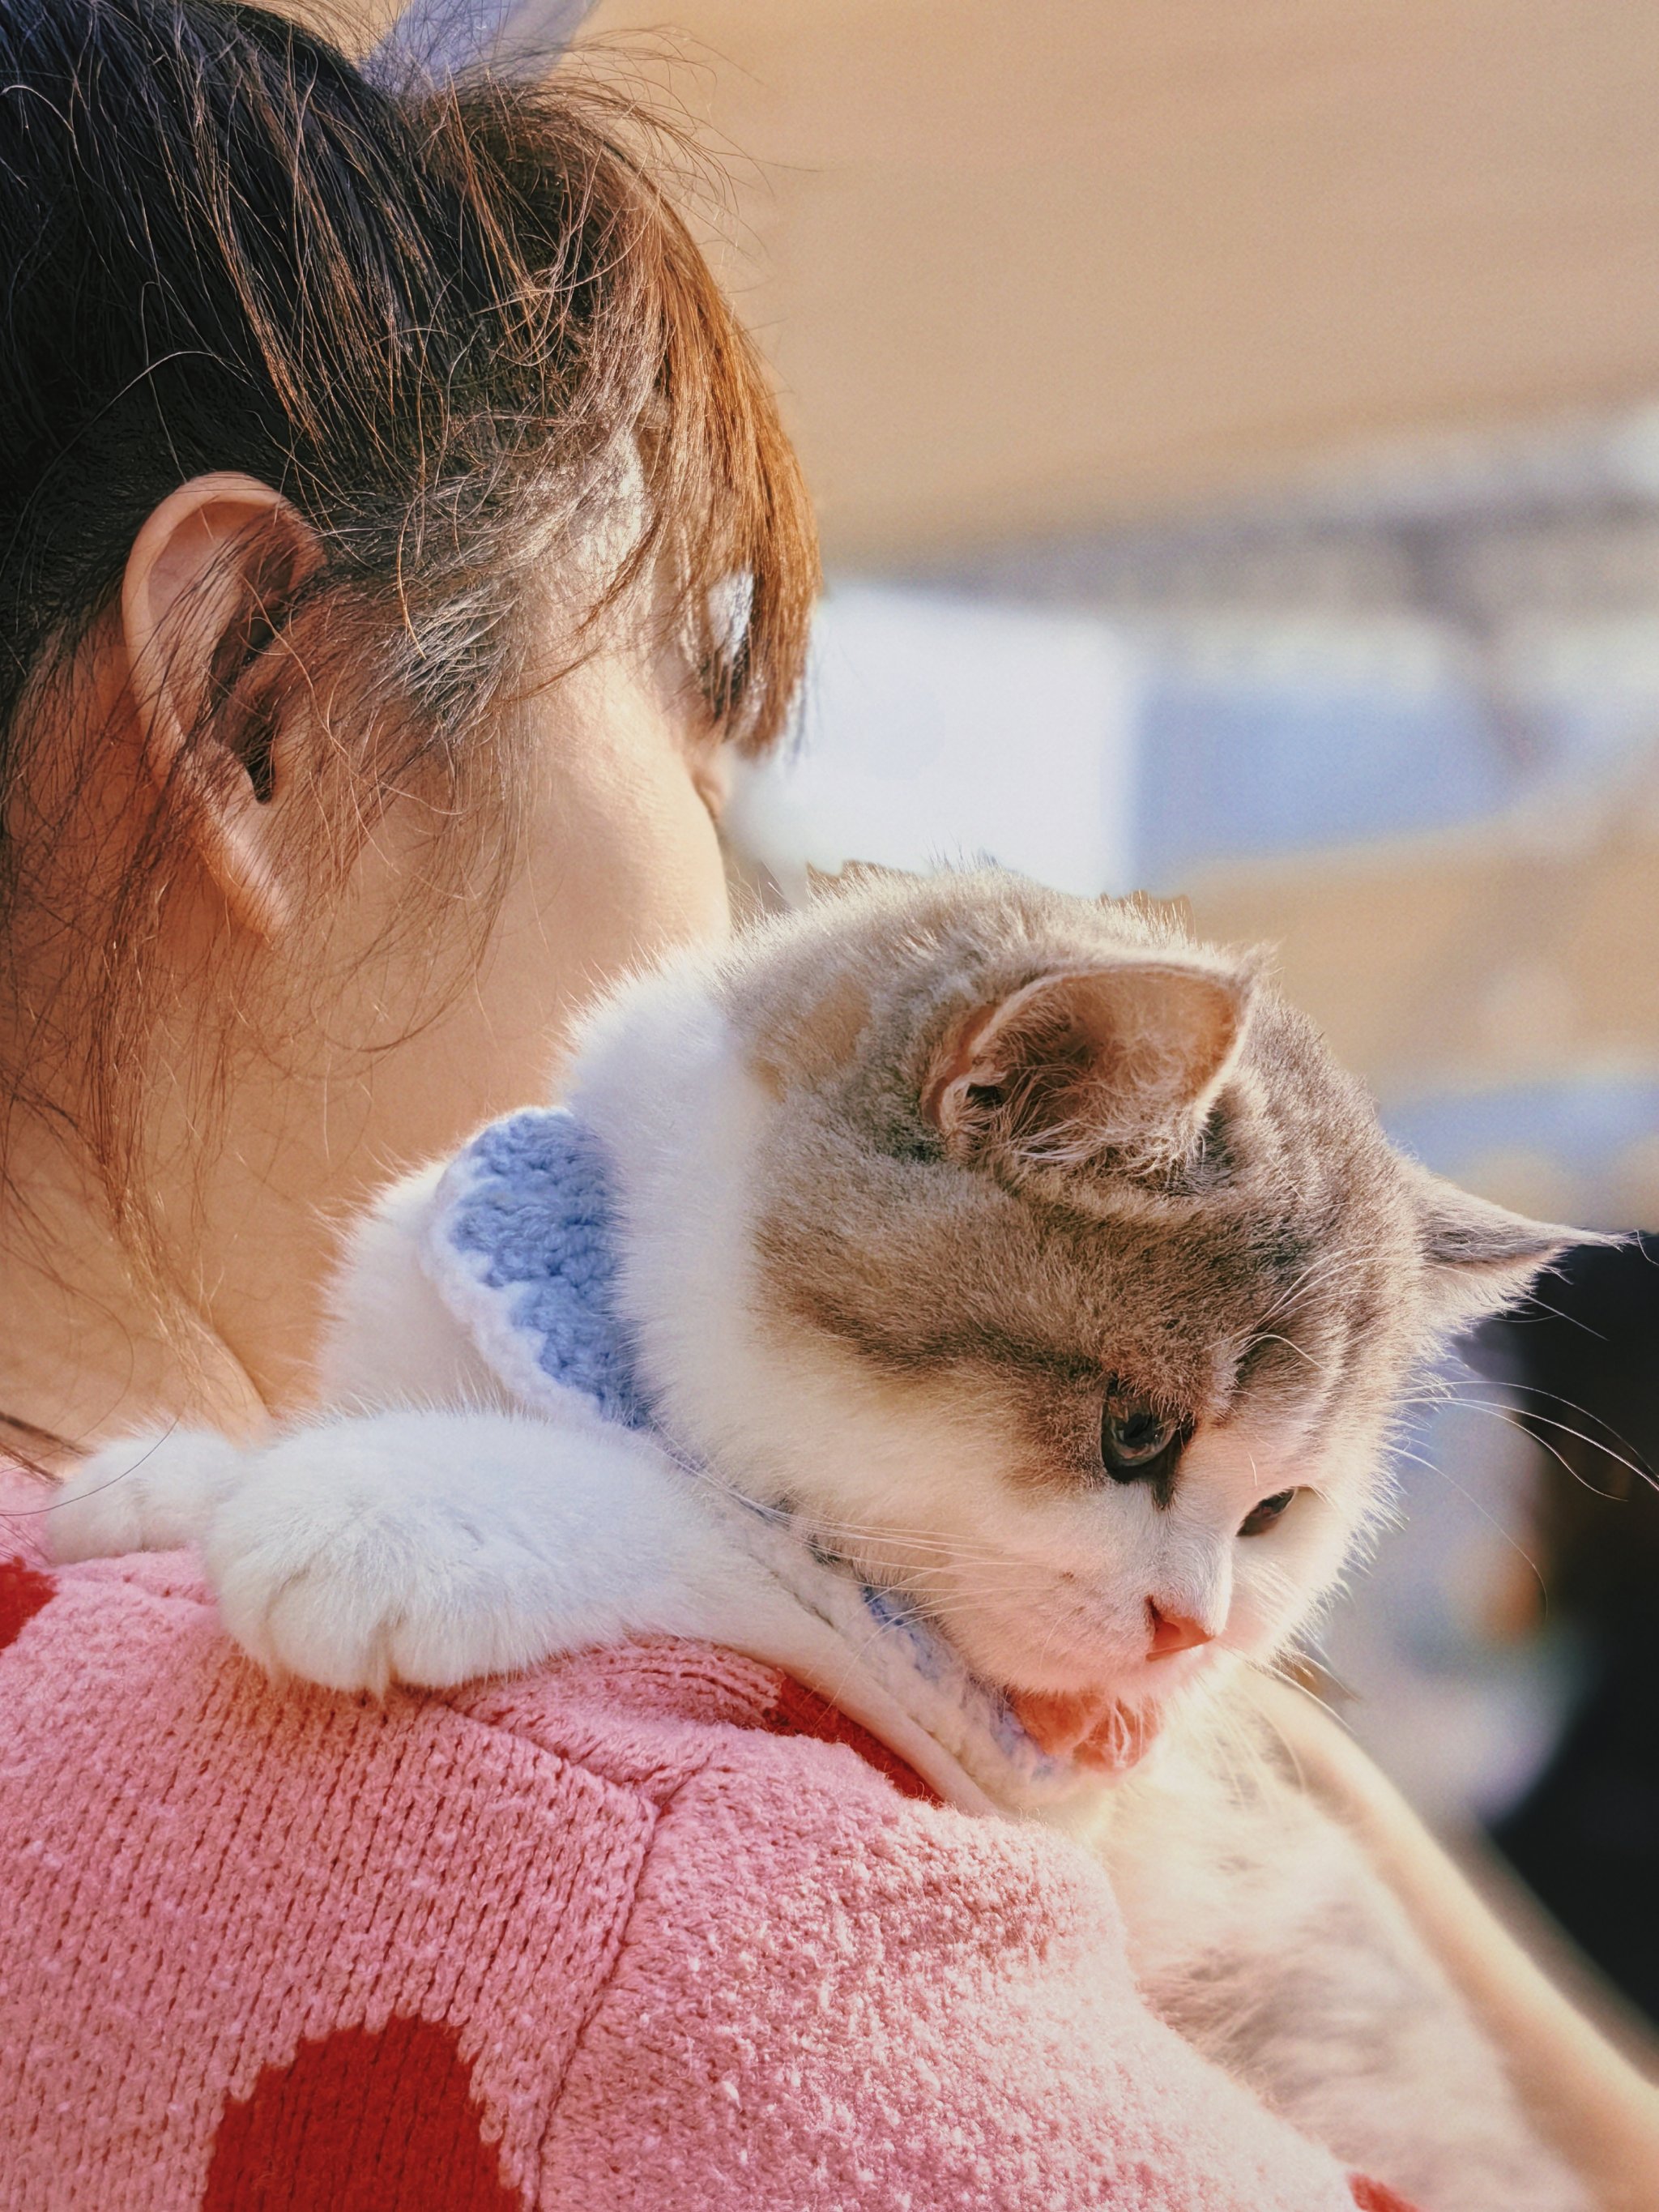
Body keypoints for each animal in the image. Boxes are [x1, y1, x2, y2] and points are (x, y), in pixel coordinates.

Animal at [55, 862, 1601, 2212]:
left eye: (1276, 1512)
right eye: (1137, 1433)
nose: (1193, 1628)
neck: (601, 1332)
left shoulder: (1014, 1759)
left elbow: (709, 1522)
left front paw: (381, 1502)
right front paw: (168, 1474)